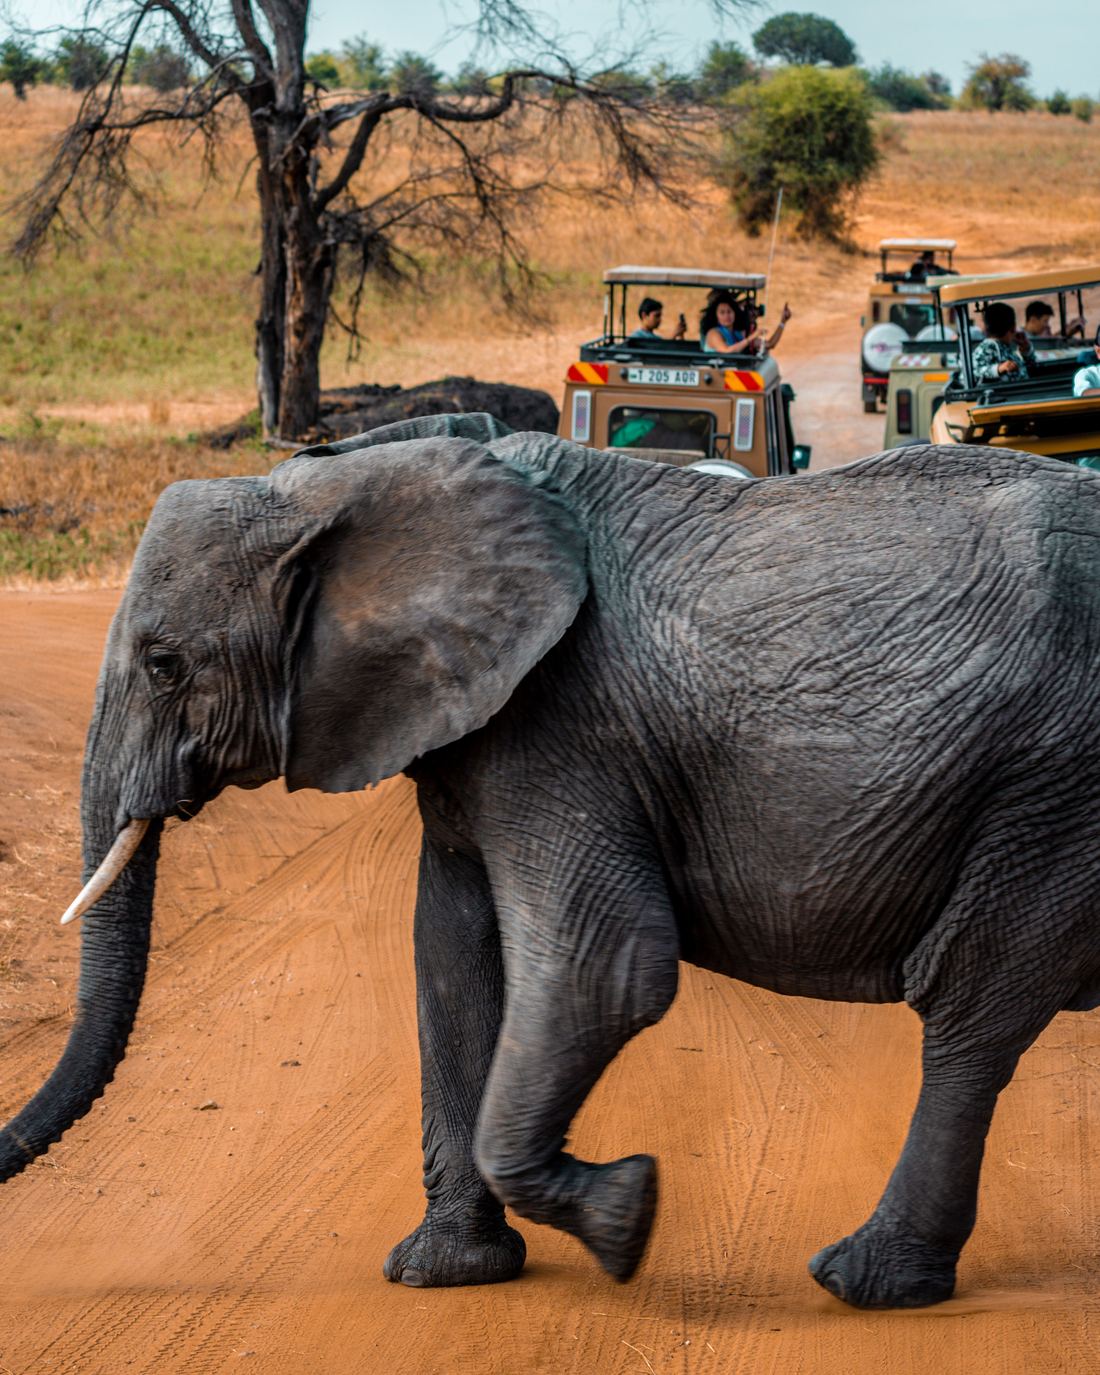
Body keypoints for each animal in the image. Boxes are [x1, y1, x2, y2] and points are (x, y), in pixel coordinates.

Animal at [1, 412, 1098, 1311]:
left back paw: (863, 1282)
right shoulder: (470, 725)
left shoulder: (564, 726)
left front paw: (629, 1216)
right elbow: (449, 958)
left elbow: (602, 969)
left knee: (968, 1010)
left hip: (1047, 789)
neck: (349, 476)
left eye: (164, 664)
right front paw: (446, 1273)